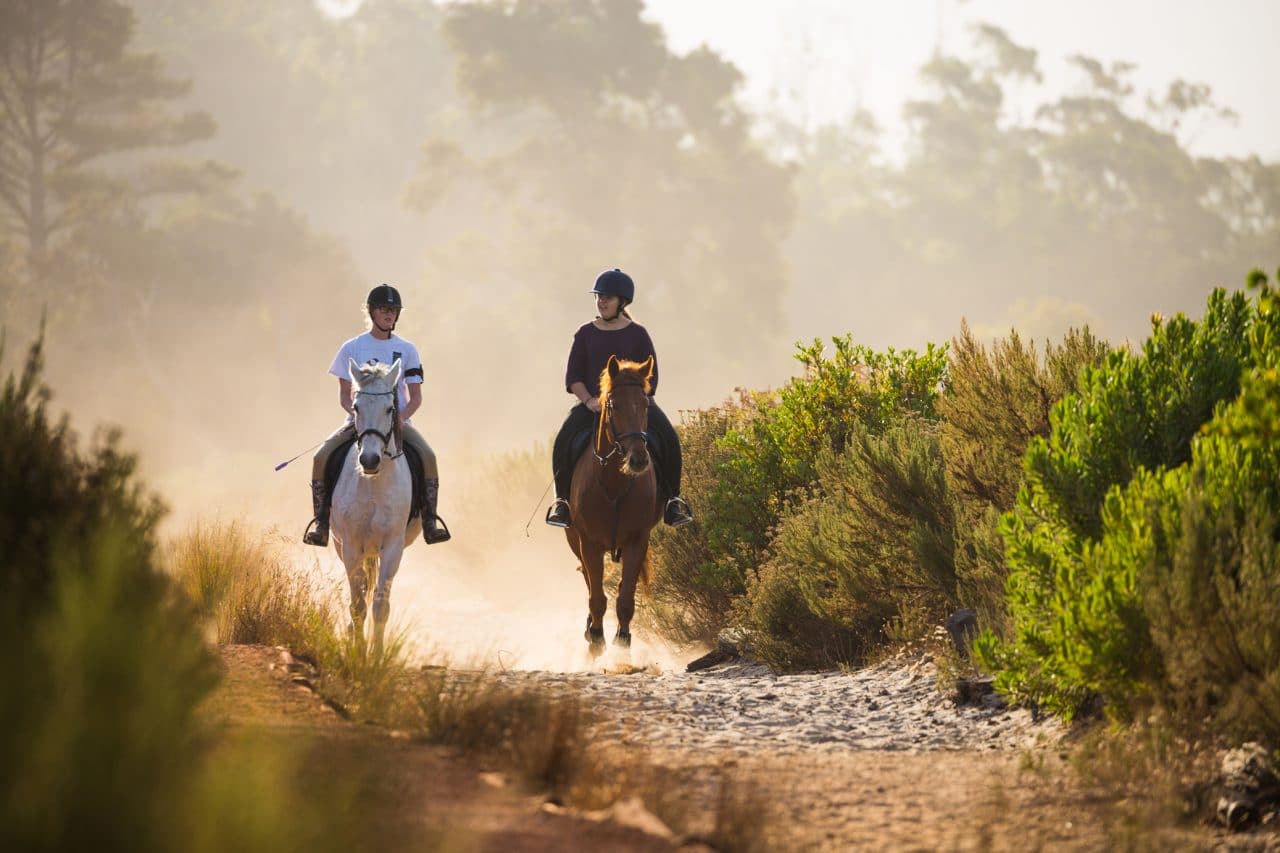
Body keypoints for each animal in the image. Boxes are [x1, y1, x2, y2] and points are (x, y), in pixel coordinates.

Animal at [330, 356, 419, 648]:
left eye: (390, 408)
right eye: (356, 407)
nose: (369, 460)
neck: (373, 486)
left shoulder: (392, 547)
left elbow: (380, 606)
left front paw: (376, 655)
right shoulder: (350, 546)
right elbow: (358, 605)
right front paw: (357, 651)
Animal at [568, 356, 665, 653]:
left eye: (645, 405)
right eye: (614, 406)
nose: (638, 460)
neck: (613, 485)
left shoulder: (637, 540)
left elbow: (625, 599)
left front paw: (622, 641)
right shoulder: (588, 543)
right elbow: (597, 597)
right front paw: (597, 639)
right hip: (575, 541)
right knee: (589, 582)